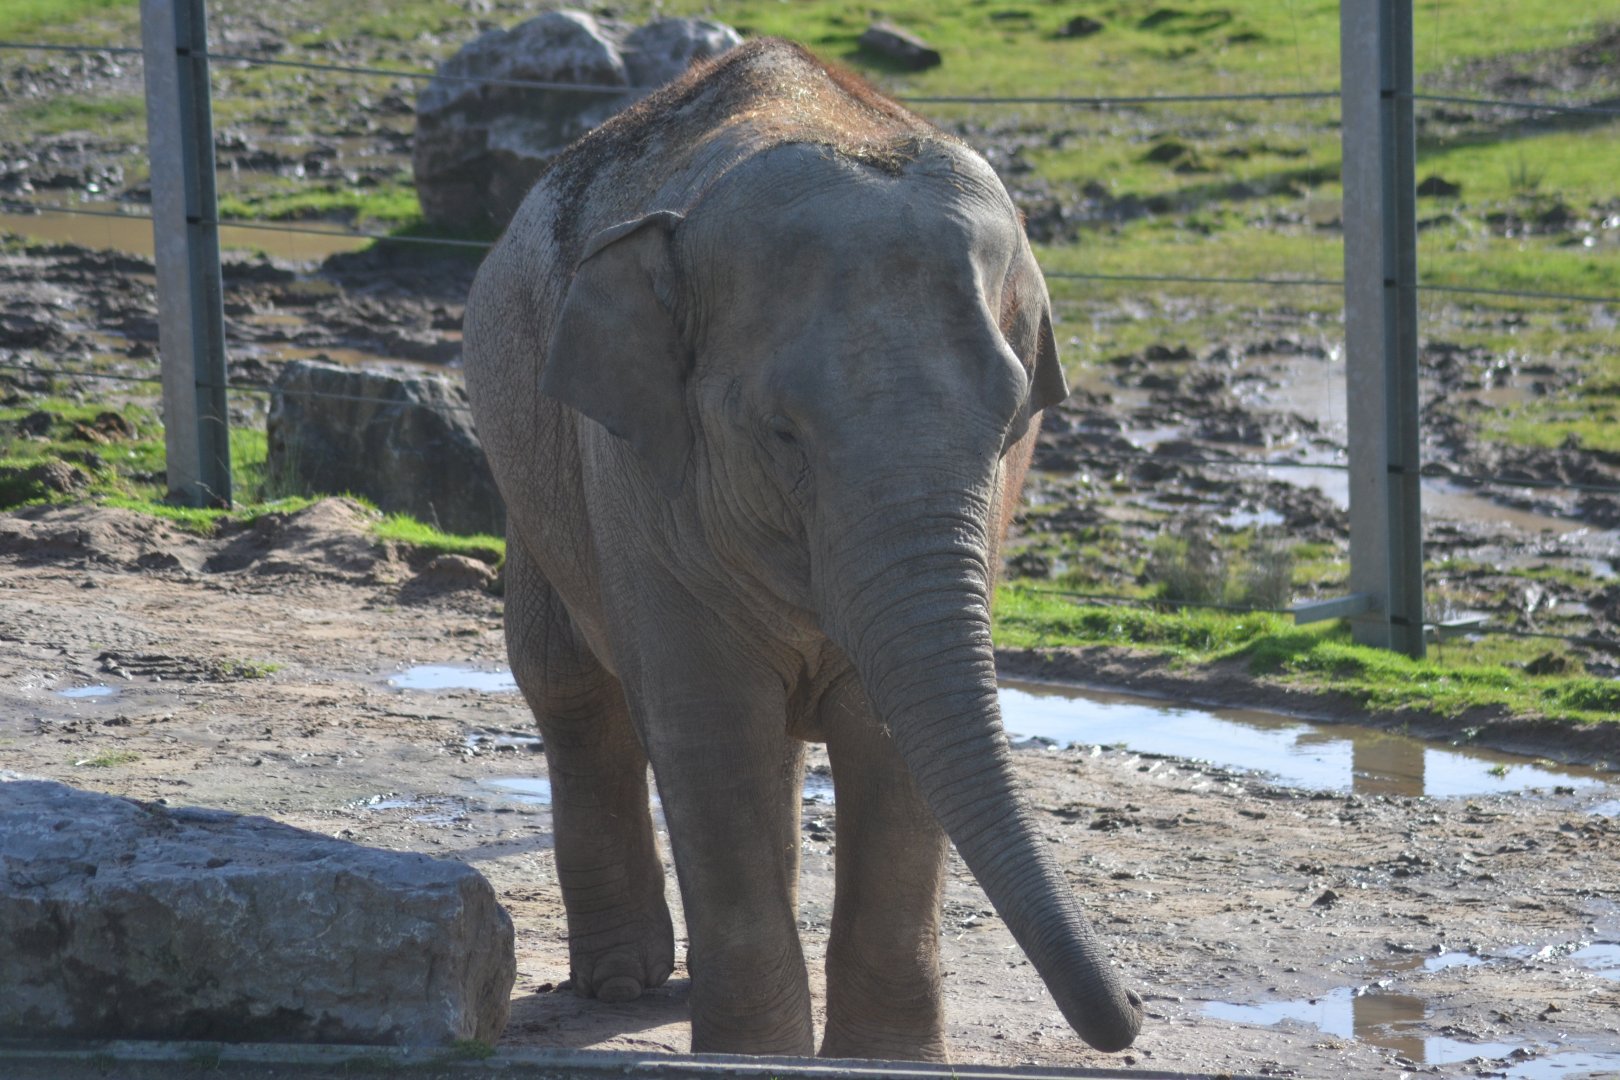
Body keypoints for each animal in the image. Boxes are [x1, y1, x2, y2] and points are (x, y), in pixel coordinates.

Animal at [462, 37, 1143, 1060]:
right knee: (571, 688)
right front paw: (755, 1058)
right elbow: (708, 724)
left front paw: (886, 1062)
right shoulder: (638, 476)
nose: (1135, 1009)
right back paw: (623, 984)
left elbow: (892, 742)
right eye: (781, 434)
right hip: (529, 461)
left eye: (1009, 424)